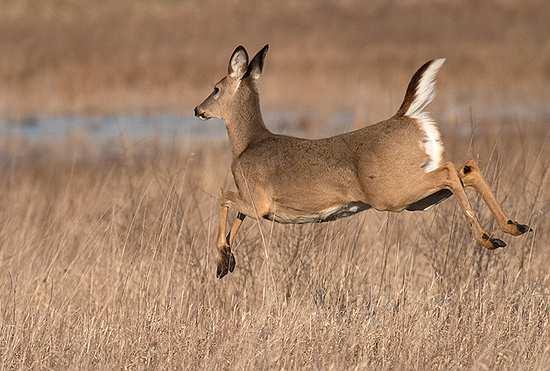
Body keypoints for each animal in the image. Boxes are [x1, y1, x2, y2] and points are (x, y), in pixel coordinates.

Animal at [193, 44, 532, 280]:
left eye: (215, 88)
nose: (198, 110)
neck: (247, 144)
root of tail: (406, 115)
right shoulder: (253, 202)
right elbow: (236, 217)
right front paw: (226, 262)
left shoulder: (259, 200)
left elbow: (223, 197)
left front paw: (222, 258)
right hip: (416, 197)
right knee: (466, 168)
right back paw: (513, 227)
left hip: (391, 193)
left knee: (450, 171)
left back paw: (488, 239)